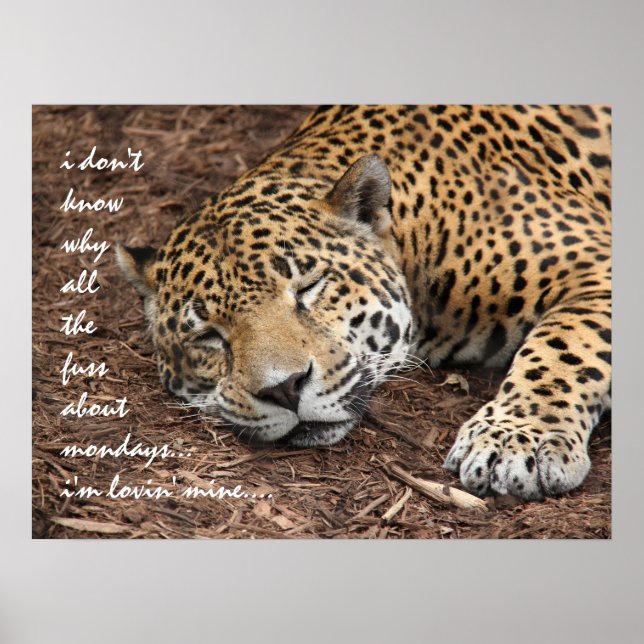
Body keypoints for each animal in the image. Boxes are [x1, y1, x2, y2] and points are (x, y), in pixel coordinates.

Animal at [117, 105, 611, 501]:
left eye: (309, 287)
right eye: (209, 335)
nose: (285, 388)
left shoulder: (593, 260)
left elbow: (564, 347)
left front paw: (517, 440)